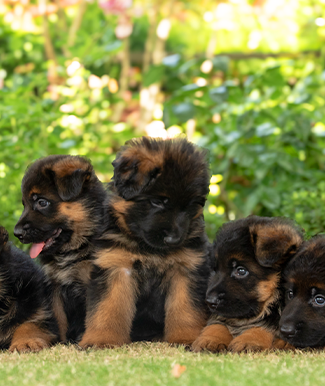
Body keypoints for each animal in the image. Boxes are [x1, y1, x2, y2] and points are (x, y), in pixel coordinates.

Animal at [13, 155, 106, 342]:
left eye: (42, 202)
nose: (16, 233)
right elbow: (58, 318)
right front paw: (58, 342)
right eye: (24, 204)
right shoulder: (54, 286)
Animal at [78, 137, 210, 348]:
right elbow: (108, 308)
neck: (149, 249)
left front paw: (186, 337)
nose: (174, 239)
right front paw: (101, 340)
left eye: (190, 205)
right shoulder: (116, 267)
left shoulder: (185, 269)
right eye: (157, 201)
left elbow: (185, 309)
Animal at [191, 216, 302, 352]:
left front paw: (249, 340)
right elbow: (217, 324)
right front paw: (210, 339)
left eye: (241, 270)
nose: (210, 301)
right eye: (215, 270)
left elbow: (264, 326)